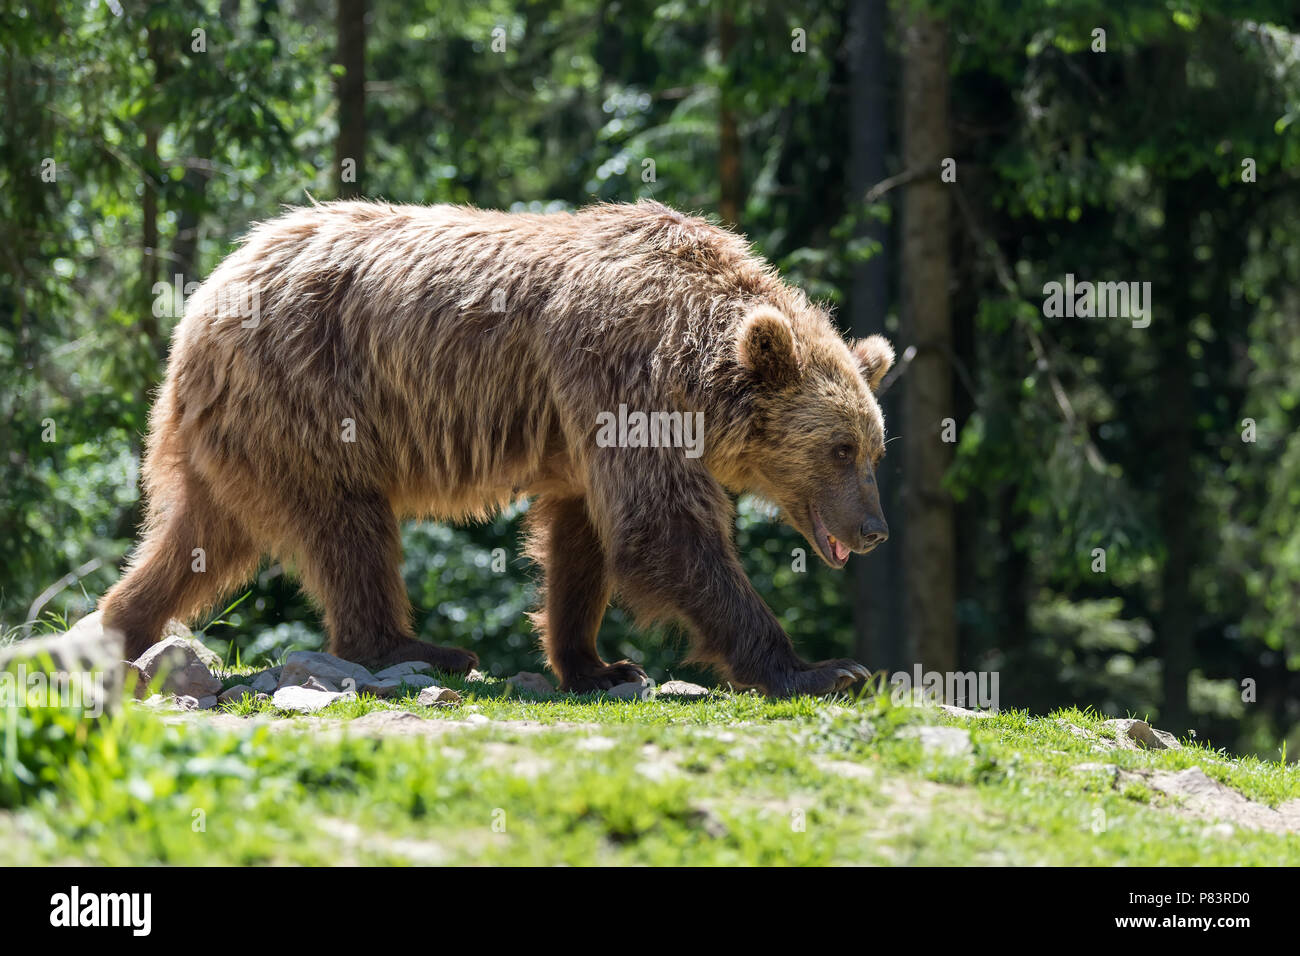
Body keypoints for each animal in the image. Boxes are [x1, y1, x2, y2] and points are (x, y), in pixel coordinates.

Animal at [101, 200, 894, 697]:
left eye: (874, 449)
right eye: (840, 448)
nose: (874, 529)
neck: (692, 358)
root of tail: (205, 297)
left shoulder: (584, 432)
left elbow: (582, 541)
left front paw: (599, 664)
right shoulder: (617, 374)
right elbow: (662, 530)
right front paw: (822, 669)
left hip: (239, 439)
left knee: (200, 539)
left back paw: (122, 623)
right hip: (312, 403)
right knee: (348, 531)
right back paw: (416, 647)